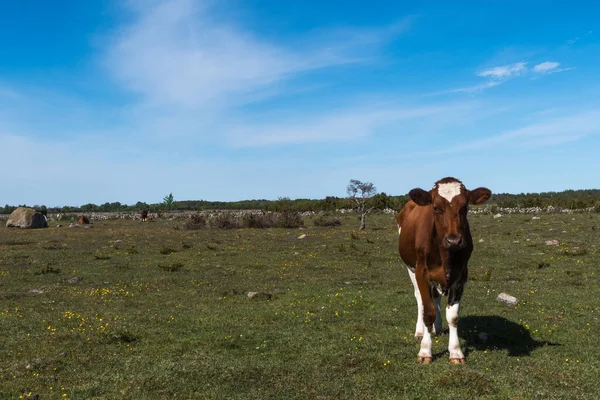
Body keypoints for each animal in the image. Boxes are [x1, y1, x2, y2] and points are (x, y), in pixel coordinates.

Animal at [396, 177, 490, 364]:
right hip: (410, 268)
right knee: (420, 299)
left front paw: (455, 352)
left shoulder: (461, 276)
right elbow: (428, 311)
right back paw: (420, 331)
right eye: (436, 207)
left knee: (436, 298)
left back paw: (436, 328)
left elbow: (452, 316)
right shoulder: (422, 273)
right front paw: (425, 350)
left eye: (465, 206)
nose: (453, 240)